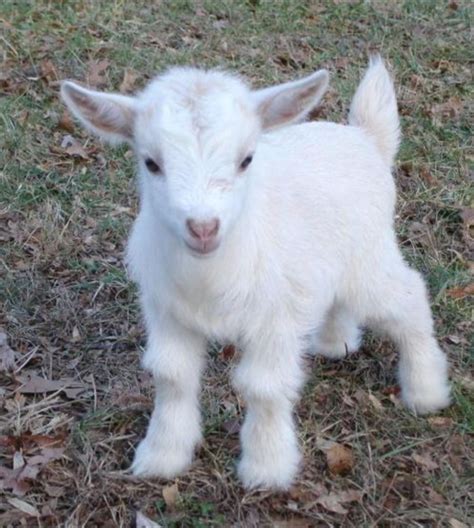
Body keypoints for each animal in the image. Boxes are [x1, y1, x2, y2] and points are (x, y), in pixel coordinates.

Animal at [61, 55, 450, 488]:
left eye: (246, 159)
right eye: (151, 163)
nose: (203, 228)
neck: (210, 276)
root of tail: (366, 138)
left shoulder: (275, 318)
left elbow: (263, 387)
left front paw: (266, 469)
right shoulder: (167, 311)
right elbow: (172, 376)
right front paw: (162, 456)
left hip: (369, 260)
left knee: (409, 297)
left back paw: (425, 390)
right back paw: (336, 343)